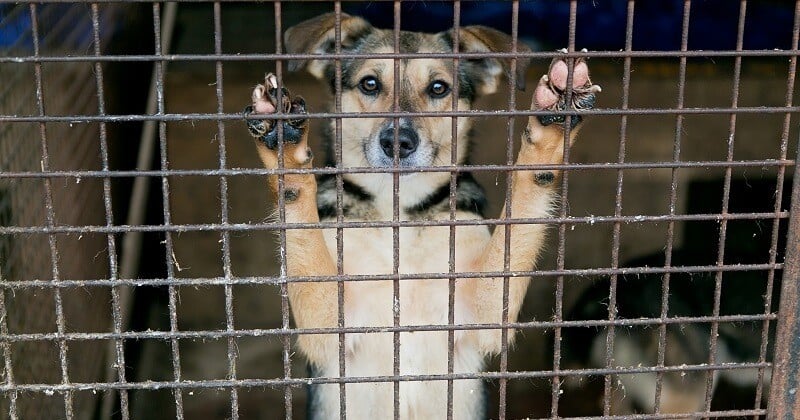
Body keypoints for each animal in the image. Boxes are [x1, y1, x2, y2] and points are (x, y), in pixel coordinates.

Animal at [244, 11, 600, 418]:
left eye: (439, 88)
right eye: (369, 84)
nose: (398, 141)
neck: (399, 208)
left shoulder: (485, 311)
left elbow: (526, 197)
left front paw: (552, 125)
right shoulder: (328, 325)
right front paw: (284, 146)